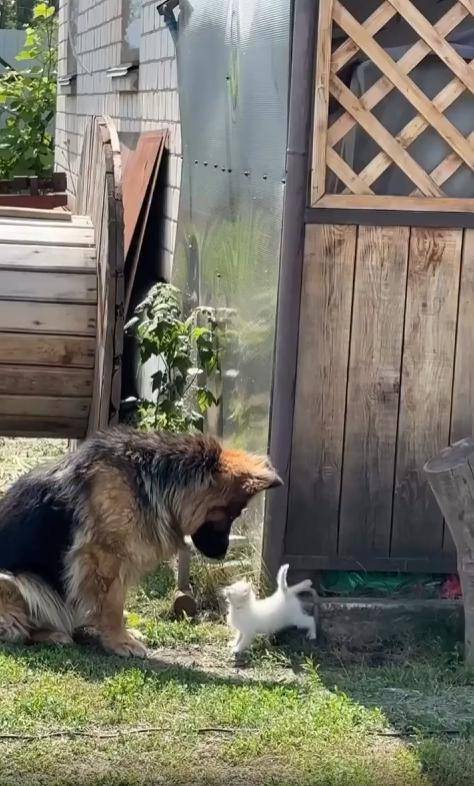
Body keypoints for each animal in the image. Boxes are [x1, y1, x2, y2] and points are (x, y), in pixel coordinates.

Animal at [0, 427, 281, 657]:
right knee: (16, 629)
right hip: (21, 580)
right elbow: (112, 604)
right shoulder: (104, 559)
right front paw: (119, 641)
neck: (152, 478)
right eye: (229, 514)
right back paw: (54, 634)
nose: (222, 553)